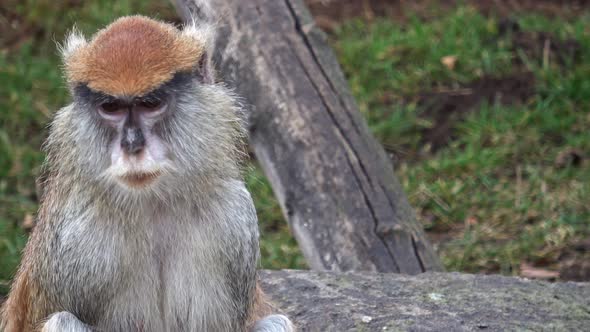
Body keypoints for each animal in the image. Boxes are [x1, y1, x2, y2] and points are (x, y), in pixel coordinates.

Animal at [0, 11, 296, 332]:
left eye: (150, 103)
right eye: (111, 106)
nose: (132, 146)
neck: (152, 204)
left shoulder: (233, 221)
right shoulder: (75, 241)